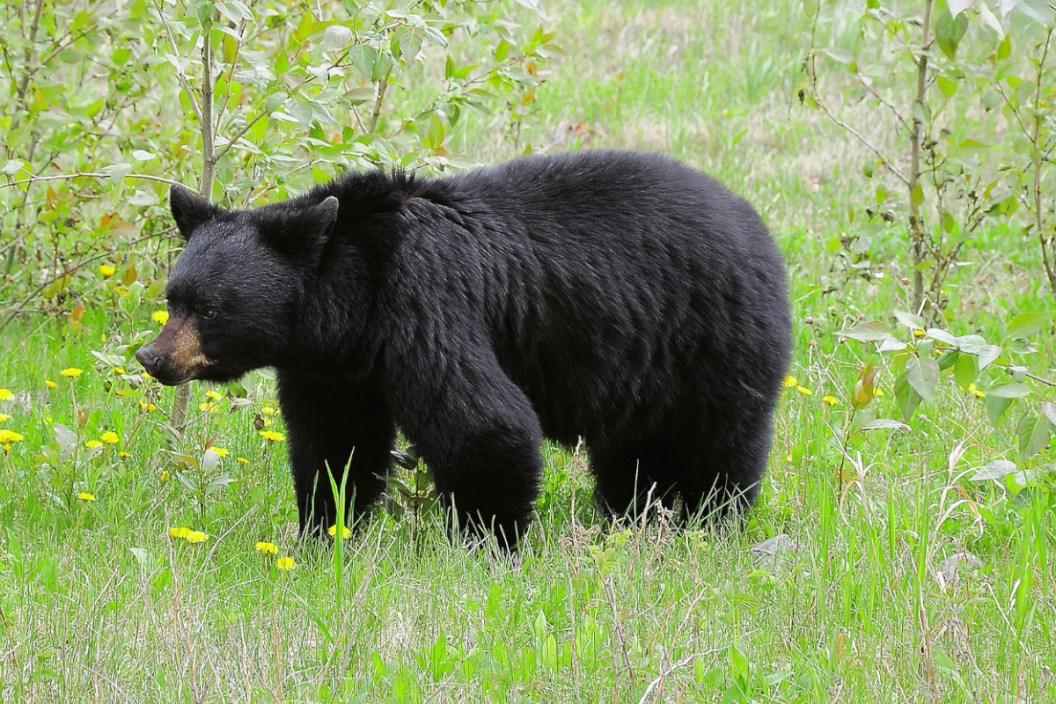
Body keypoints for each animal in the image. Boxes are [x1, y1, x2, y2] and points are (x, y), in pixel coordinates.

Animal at [136, 151, 789, 548]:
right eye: (174, 298)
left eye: (210, 308)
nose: (153, 358)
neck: (353, 295)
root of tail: (755, 223)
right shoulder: (333, 369)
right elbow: (335, 445)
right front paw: (323, 534)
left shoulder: (425, 299)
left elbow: (483, 424)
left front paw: (488, 544)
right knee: (632, 452)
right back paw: (630, 518)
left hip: (711, 341)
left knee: (717, 445)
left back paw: (708, 522)